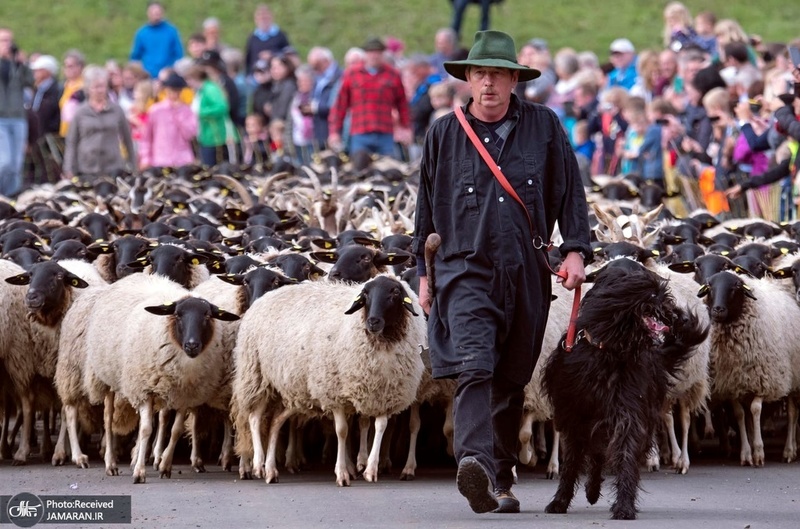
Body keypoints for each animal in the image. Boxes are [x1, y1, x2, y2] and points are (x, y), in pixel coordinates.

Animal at [544, 266, 708, 516]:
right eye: (653, 292)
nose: (680, 317)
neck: (609, 351)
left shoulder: (628, 411)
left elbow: (625, 453)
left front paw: (624, 504)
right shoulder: (575, 414)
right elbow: (571, 461)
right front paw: (560, 501)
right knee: (596, 453)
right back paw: (592, 490)